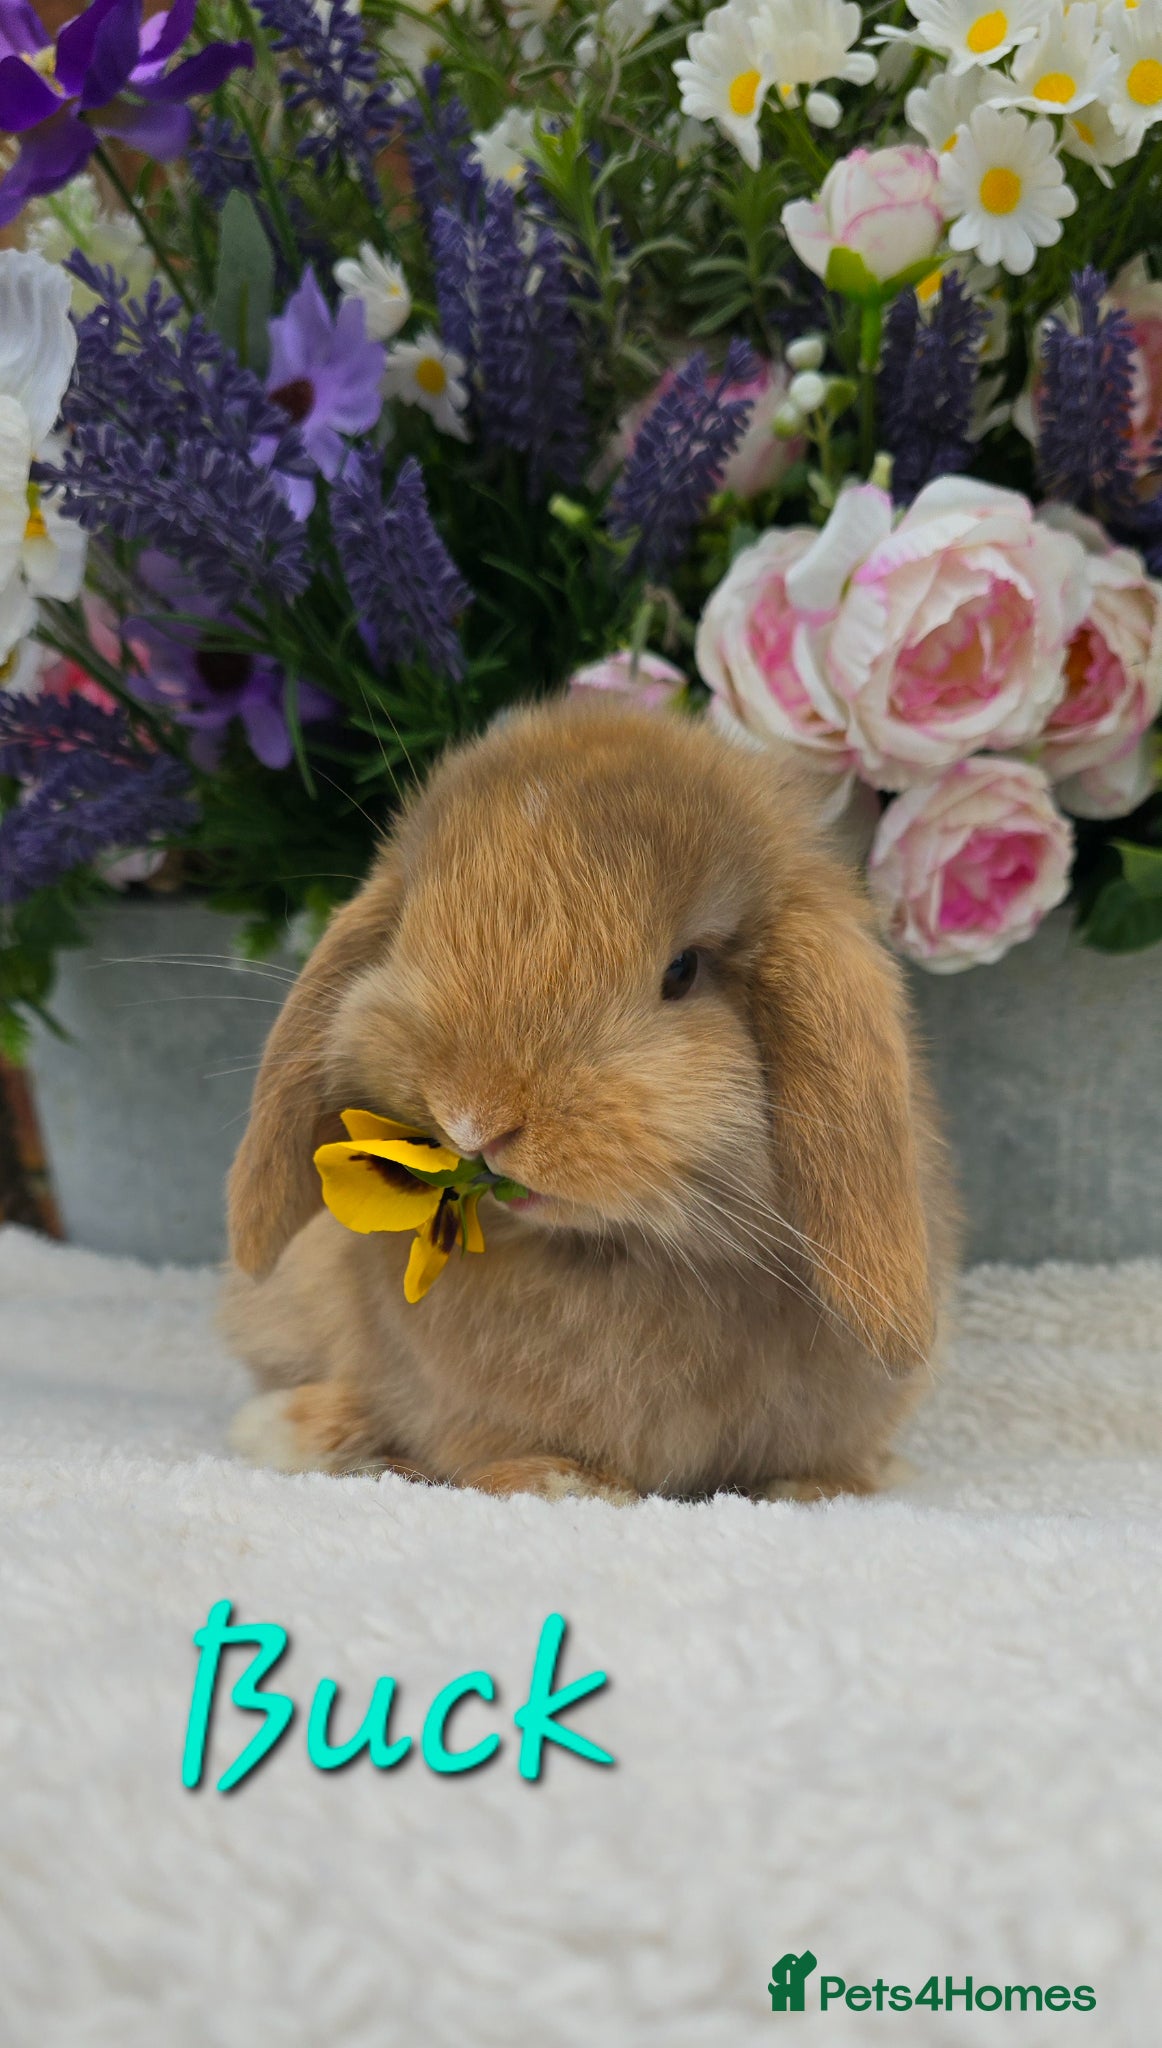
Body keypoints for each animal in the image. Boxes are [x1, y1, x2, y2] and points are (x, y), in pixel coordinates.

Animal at [223, 694, 958, 1503]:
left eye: (682, 971)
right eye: (411, 930)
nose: (475, 1118)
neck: (608, 1254)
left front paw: (816, 1491)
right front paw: (562, 1482)